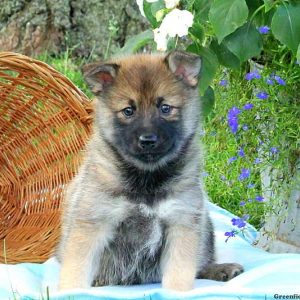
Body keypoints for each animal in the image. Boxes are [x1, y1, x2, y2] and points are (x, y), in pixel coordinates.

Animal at [56, 51, 244, 290]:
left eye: (165, 108)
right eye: (128, 111)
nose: (148, 140)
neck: (147, 178)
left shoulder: (181, 221)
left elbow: (180, 273)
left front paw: (177, 292)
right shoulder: (92, 223)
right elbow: (76, 269)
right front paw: (70, 292)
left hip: (205, 227)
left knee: (201, 264)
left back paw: (222, 269)